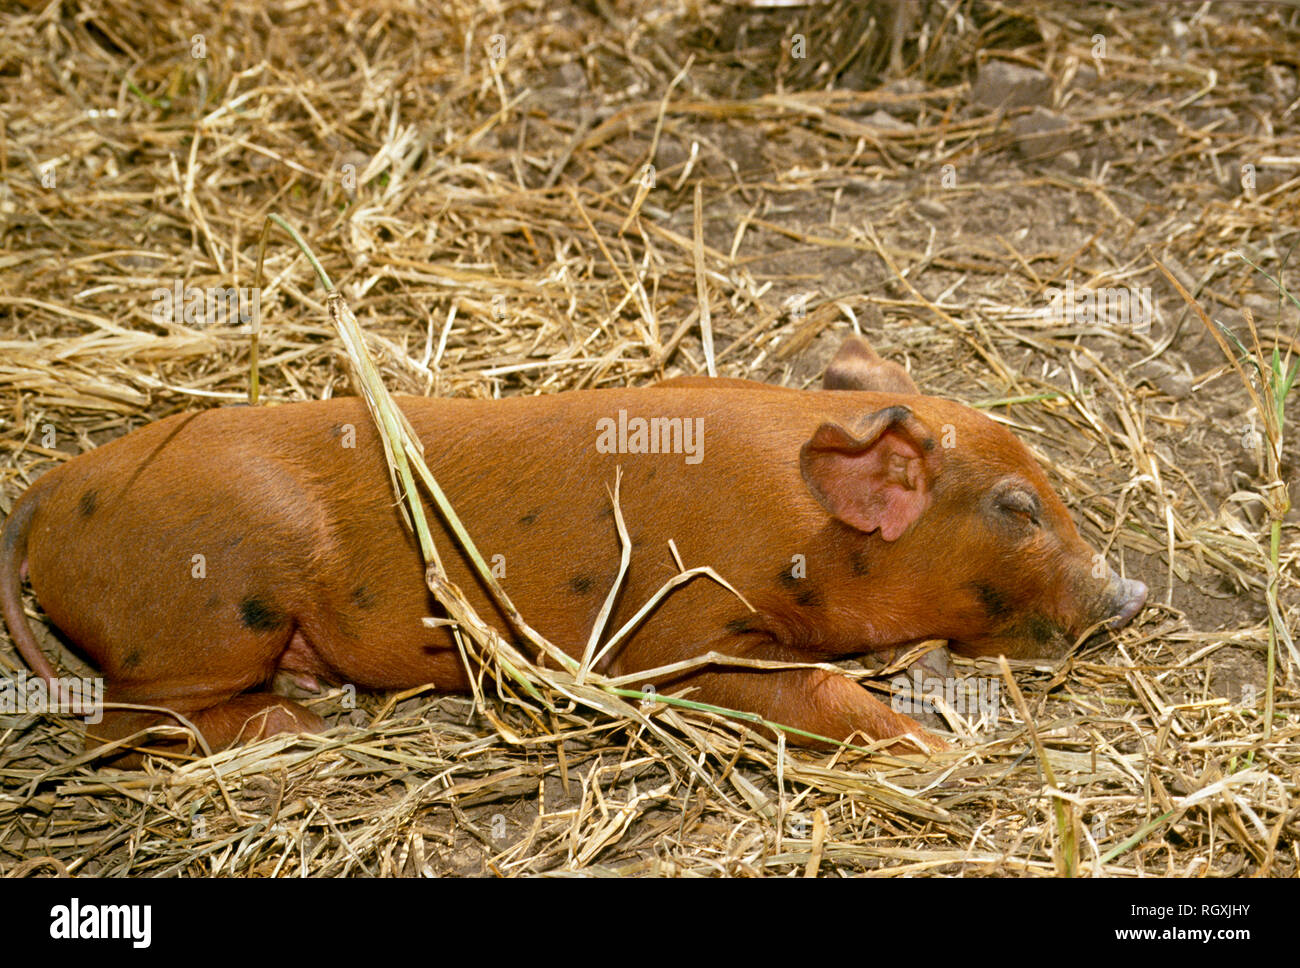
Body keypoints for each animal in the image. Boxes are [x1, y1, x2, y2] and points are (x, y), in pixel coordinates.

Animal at [0, 336, 1146, 759]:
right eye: (1017, 506)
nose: (1131, 591)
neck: (801, 524)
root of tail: (49, 491)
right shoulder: (679, 634)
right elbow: (807, 688)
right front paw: (941, 751)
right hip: (205, 613)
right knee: (127, 721)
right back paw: (299, 723)